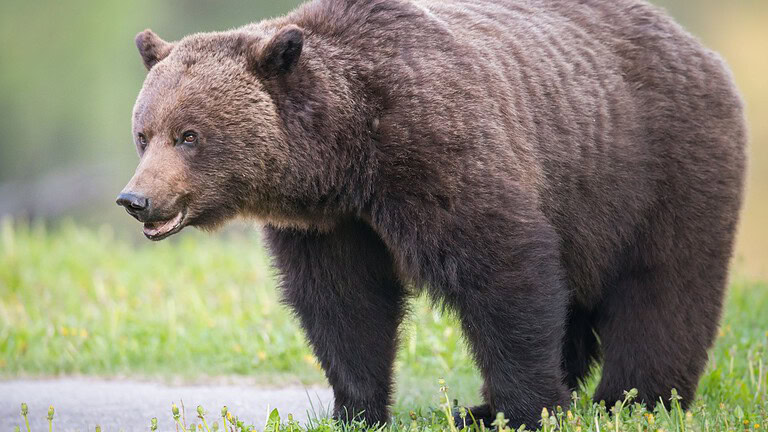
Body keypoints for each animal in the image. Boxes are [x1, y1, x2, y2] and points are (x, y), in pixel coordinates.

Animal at [117, 0, 746, 427]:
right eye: (144, 134)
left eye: (189, 135)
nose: (135, 200)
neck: (348, 156)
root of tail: (699, 47)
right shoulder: (332, 225)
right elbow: (344, 304)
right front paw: (357, 407)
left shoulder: (438, 150)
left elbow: (503, 271)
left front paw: (530, 408)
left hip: (657, 166)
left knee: (663, 288)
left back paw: (635, 399)